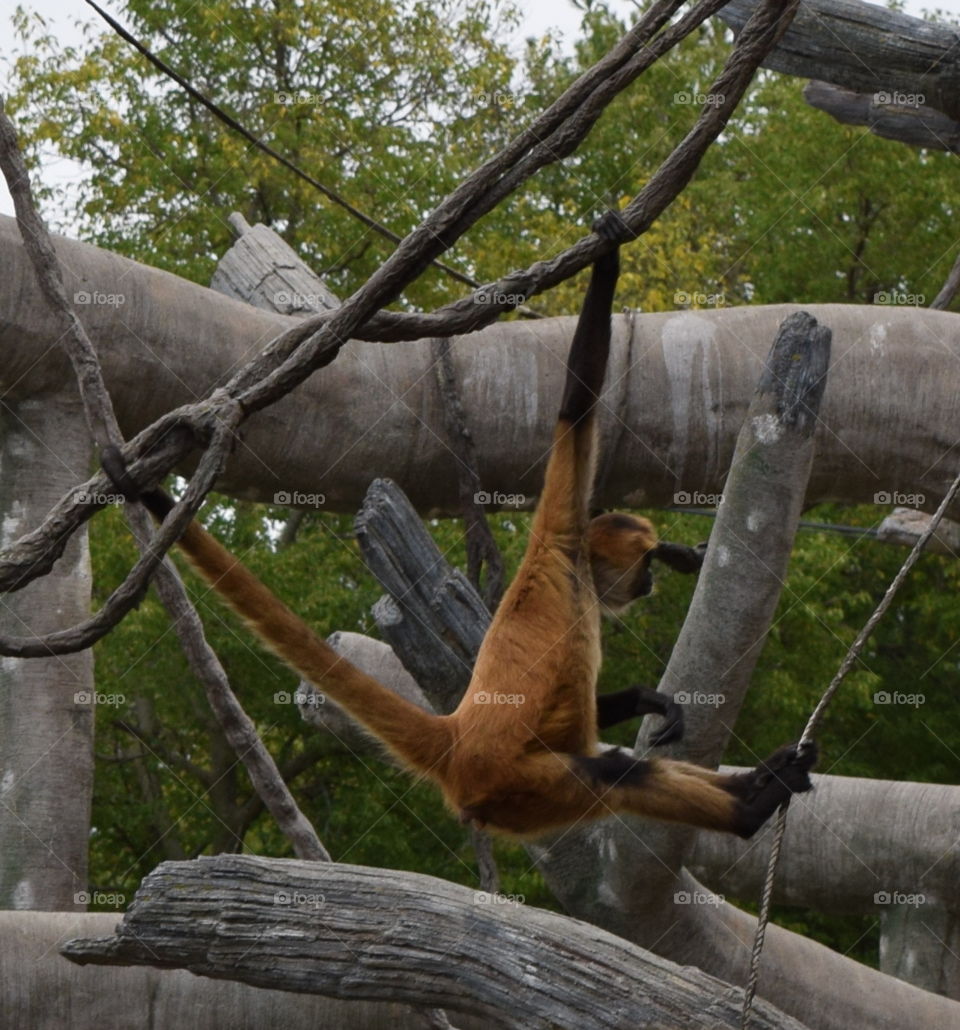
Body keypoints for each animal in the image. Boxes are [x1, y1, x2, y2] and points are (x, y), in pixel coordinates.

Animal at [102, 211, 815, 840]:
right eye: (641, 565)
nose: (649, 583)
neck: (575, 574)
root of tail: (460, 740)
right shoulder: (558, 528)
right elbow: (574, 411)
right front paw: (609, 255)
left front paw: (648, 698)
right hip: (516, 786)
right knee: (612, 775)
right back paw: (749, 808)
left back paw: (763, 783)